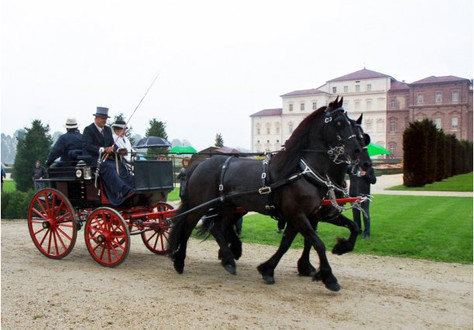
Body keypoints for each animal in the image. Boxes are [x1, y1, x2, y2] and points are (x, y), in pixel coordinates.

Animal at [168, 97, 372, 292]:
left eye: (363, 136)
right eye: (339, 123)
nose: (362, 159)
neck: (302, 171)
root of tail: (199, 164)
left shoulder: (310, 215)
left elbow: (293, 242)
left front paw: (271, 269)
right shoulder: (298, 214)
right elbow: (317, 243)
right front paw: (328, 277)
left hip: (227, 207)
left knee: (216, 228)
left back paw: (229, 260)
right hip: (200, 205)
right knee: (187, 227)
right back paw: (180, 260)